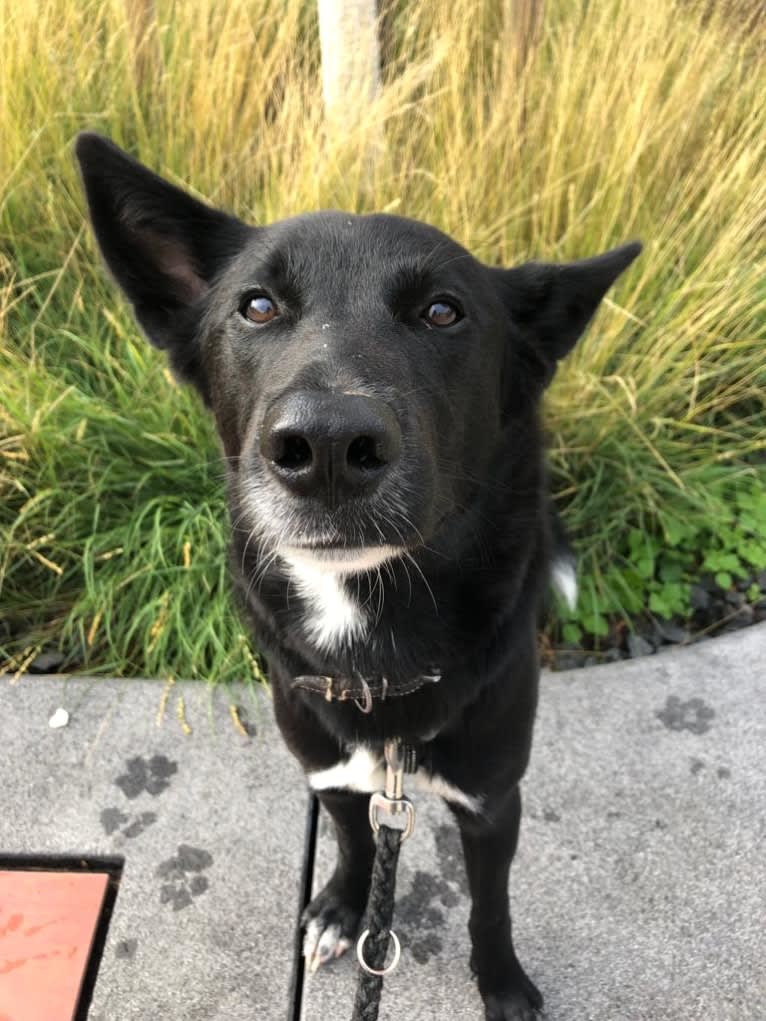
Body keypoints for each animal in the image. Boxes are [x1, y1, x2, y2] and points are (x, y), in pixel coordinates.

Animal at [76, 135, 641, 1021]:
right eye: (257, 306)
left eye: (443, 311)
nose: (328, 447)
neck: (374, 649)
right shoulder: (332, 772)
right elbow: (348, 838)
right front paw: (344, 907)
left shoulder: (492, 799)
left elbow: (491, 904)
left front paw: (503, 984)